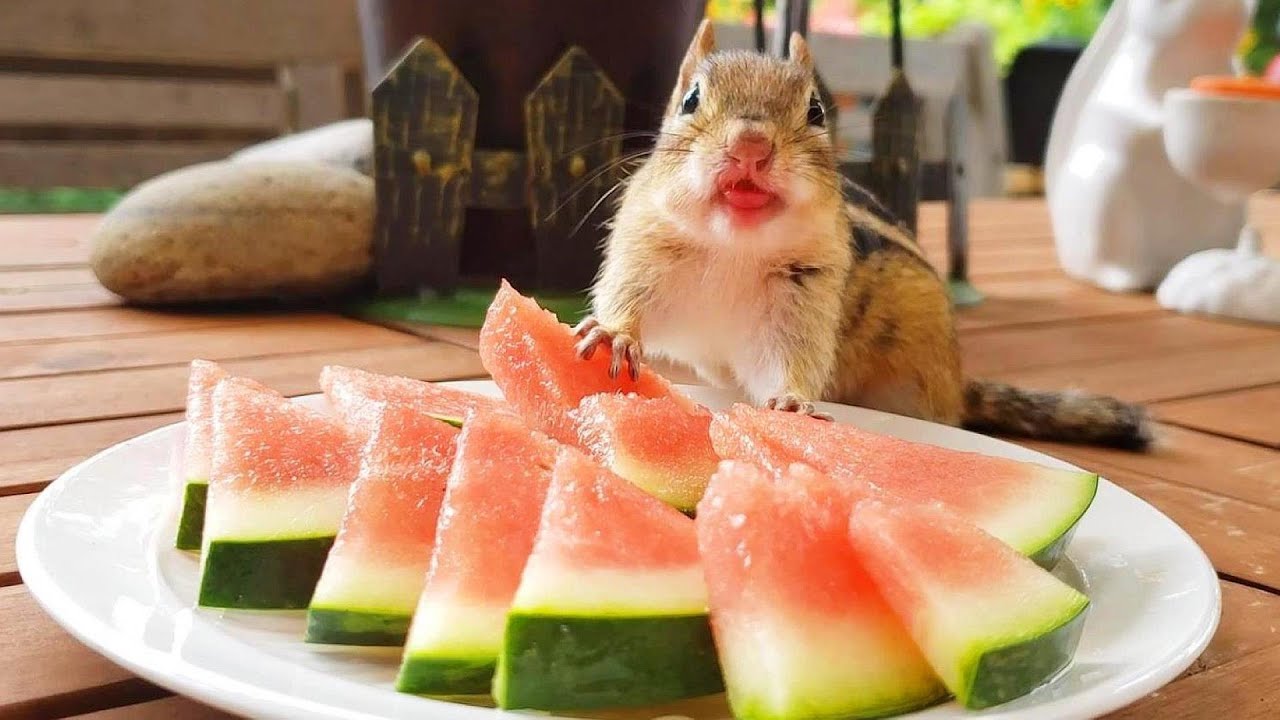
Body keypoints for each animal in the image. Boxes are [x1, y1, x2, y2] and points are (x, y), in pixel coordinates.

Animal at [573, 19, 1153, 451]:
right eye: (691, 99)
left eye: (815, 110)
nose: (751, 146)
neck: (734, 247)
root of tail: (957, 389)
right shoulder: (643, 249)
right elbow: (627, 300)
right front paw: (615, 333)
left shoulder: (804, 296)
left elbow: (787, 360)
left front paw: (791, 402)